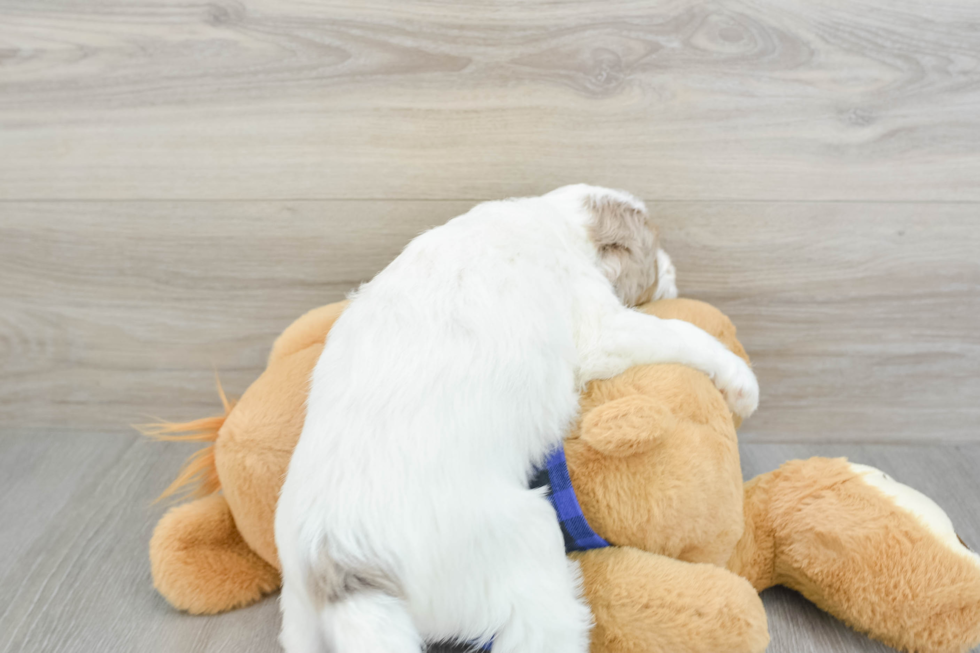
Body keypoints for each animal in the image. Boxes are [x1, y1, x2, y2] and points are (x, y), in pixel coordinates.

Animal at [276, 183, 756, 652]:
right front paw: (741, 382)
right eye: (653, 251)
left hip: (300, 621)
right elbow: (682, 333)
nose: (674, 272)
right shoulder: (602, 327)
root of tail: (340, 562)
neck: (553, 219)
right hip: (525, 545)